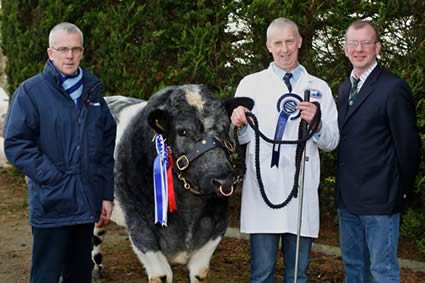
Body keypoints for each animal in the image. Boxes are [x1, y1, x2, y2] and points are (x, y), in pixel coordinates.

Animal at [92, 85, 252, 283]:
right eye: (182, 131)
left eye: (224, 127)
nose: (224, 181)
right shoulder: (140, 228)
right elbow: (161, 274)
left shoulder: (216, 227)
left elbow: (199, 273)